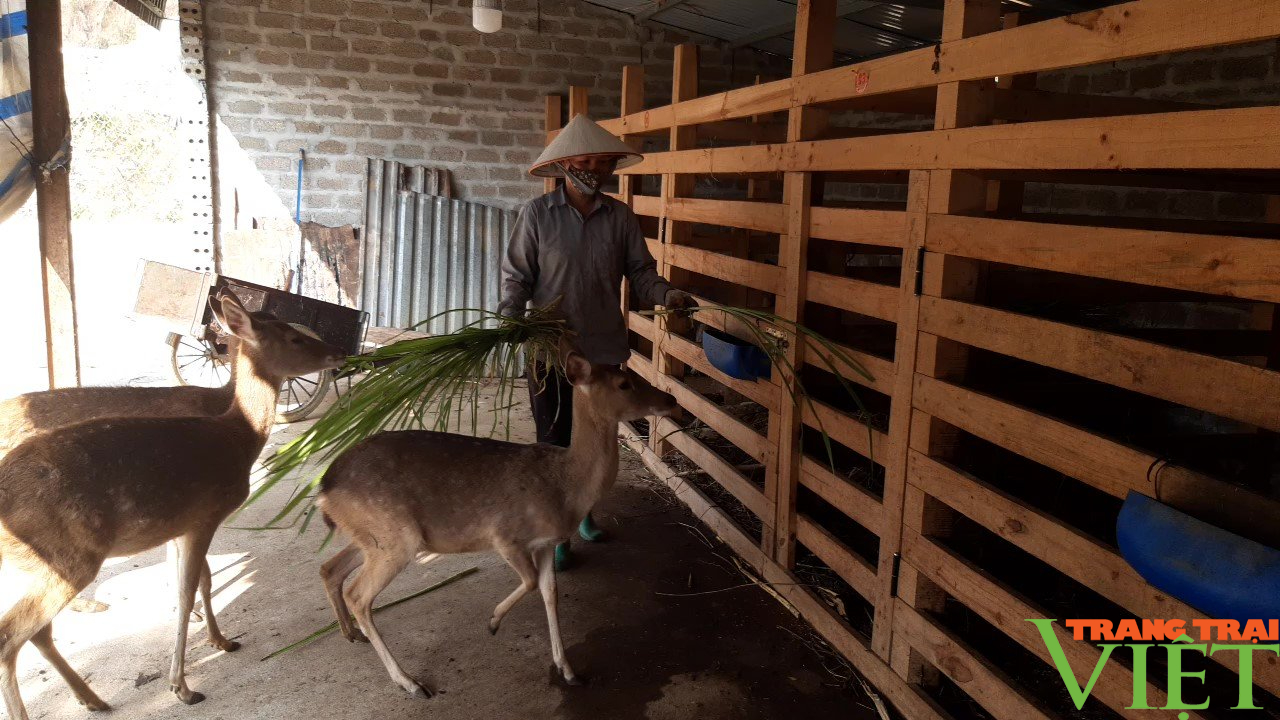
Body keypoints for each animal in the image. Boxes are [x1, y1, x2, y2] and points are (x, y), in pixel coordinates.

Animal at [0, 292, 345, 717]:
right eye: (295, 338)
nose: (339, 352)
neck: (238, 437)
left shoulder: (180, 527)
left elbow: (198, 583)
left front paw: (221, 641)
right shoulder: (204, 515)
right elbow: (186, 592)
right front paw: (182, 686)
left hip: (41, 564)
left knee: (39, 632)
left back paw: (94, 698)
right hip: (66, 555)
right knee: (11, 635)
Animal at [316, 351, 680, 691]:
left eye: (632, 375)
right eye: (624, 384)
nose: (672, 400)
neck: (565, 489)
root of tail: (323, 489)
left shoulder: (546, 543)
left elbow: (550, 592)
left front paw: (568, 670)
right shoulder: (504, 535)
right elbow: (530, 582)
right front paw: (492, 622)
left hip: (373, 536)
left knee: (330, 568)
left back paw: (351, 634)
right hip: (395, 538)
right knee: (358, 595)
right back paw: (409, 682)